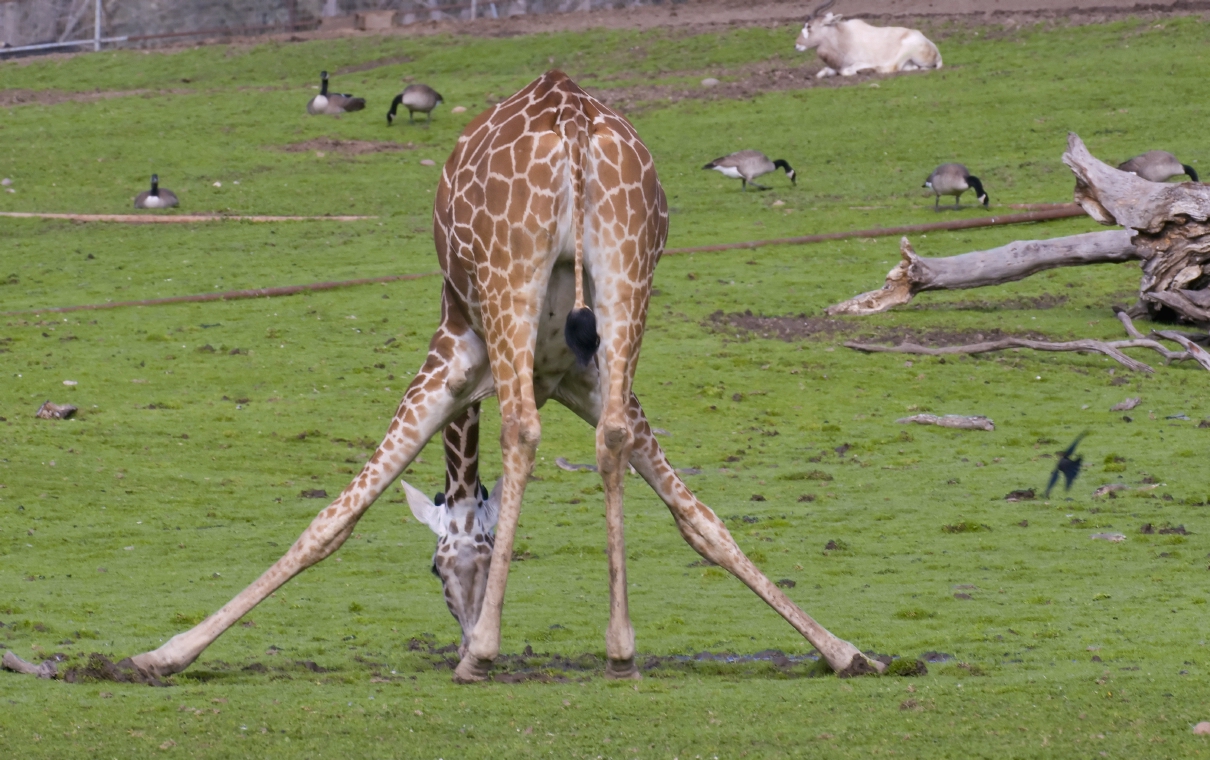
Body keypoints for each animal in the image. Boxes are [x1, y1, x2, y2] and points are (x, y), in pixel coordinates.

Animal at [117, 72, 880, 682]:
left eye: (434, 570)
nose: (461, 629)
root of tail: (573, 122)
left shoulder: (455, 350)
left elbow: (333, 518)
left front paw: (162, 654)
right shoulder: (578, 375)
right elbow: (697, 517)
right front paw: (845, 651)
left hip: (507, 284)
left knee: (521, 429)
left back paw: (482, 656)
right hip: (629, 279)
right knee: (608, 438)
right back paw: (617, 649)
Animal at [793, 0, 943, 78]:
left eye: (809, 26)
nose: (796, 45)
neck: (844, 36)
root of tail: (935, 51)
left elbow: (846, 70)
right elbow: (822, 72)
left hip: (906, 49)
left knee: (892, 67)